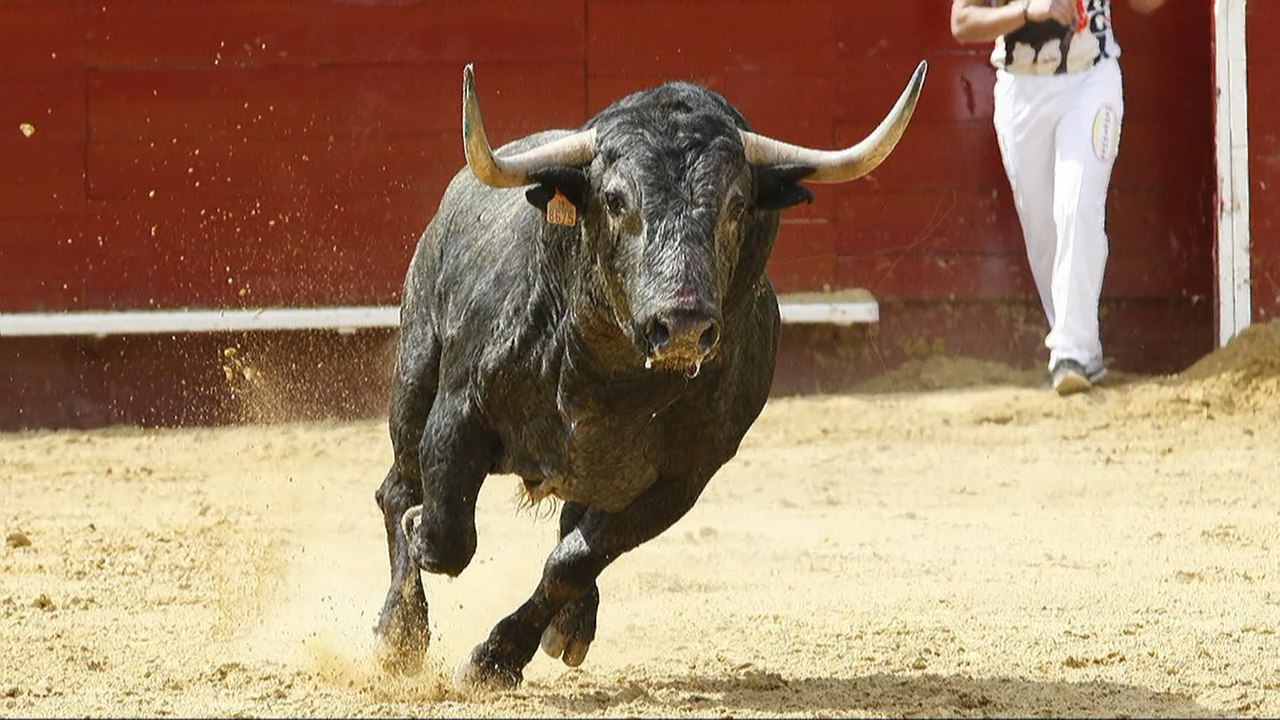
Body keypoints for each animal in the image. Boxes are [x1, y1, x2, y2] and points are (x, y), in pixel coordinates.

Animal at [373, 61, 927, 688]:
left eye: (738, 204)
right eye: (614, 199)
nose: (681, 324)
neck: (605, 372)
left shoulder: (682, 479)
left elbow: (572, 560)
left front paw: (496, 659)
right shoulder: (458, 412)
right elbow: (443, 536)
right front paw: (420, 588)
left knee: (568, 529)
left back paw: (571, 624)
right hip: (415, 378)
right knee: (398, 491)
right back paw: (396, 638)